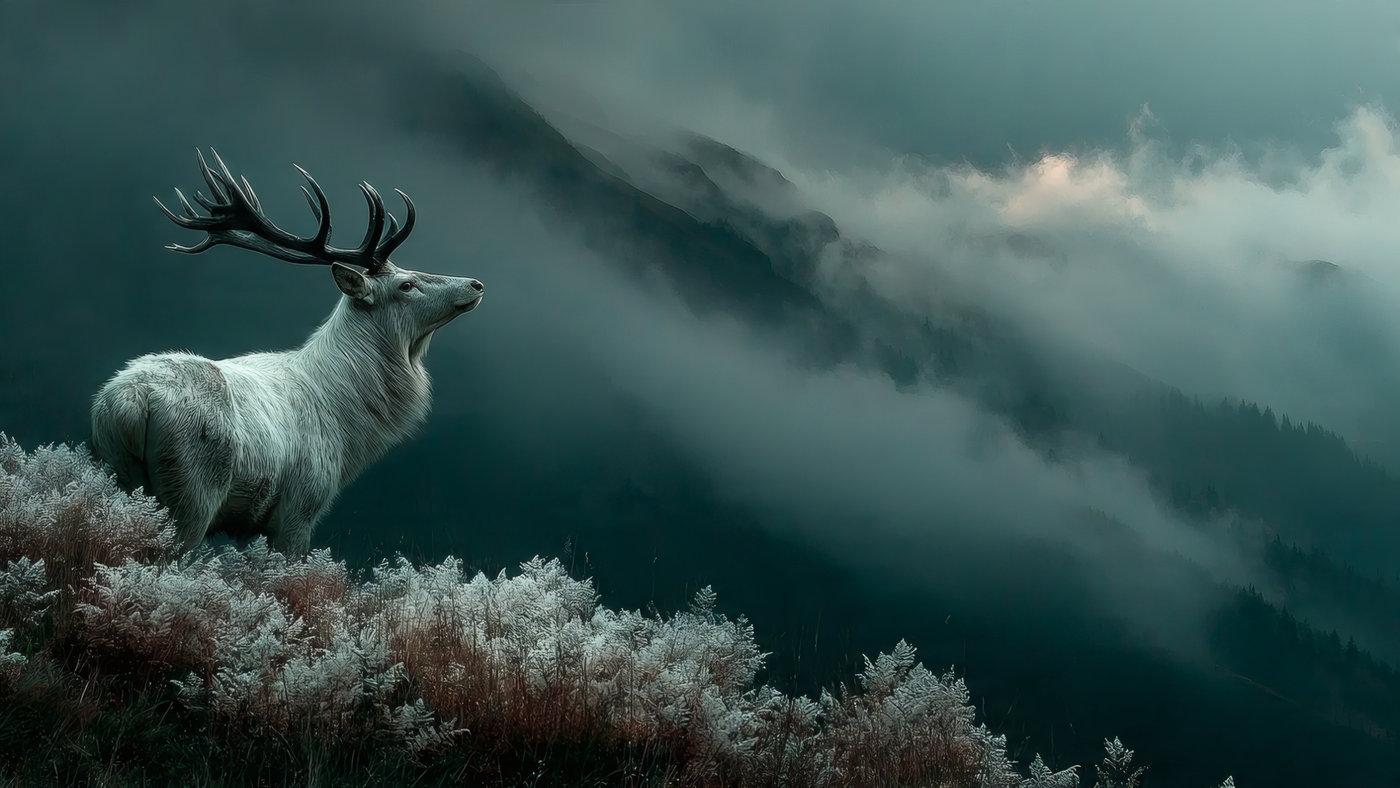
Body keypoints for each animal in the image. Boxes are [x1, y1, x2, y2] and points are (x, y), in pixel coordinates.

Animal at [90, 151, 484, 555]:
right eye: (406, 284)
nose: (475, 284)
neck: (348, 427)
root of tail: (128, 403)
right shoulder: (299, 506)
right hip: (192, 489)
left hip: (114, 473)